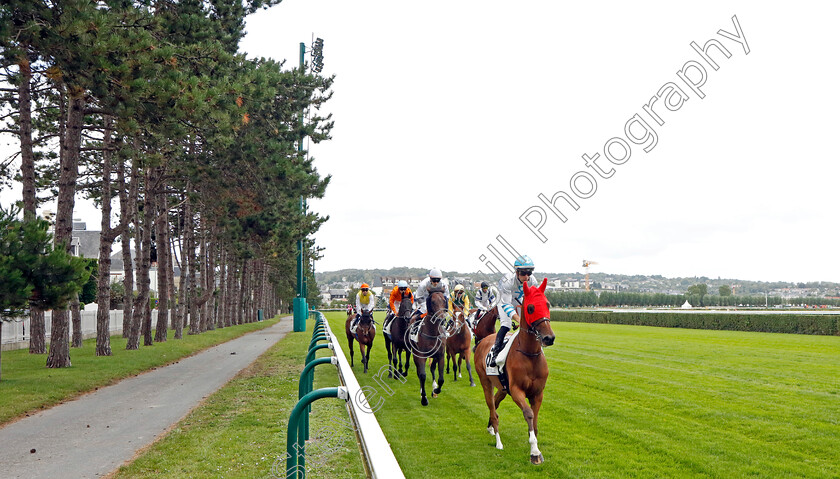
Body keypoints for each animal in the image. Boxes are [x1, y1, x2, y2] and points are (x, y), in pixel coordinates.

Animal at [476, 280, 556, 466]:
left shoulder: (538, 393)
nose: (549, 338)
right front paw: (534, 452)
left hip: (502, 388)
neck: (530, 355)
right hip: (485, 382)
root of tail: (484, 340)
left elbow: (535, 420)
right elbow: (529, 414)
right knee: (491, 406)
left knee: (495, 403)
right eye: (531, 308)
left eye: (548, 304)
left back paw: (490, 427)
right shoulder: (517, 390)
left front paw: (534, 443)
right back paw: (498, 440)